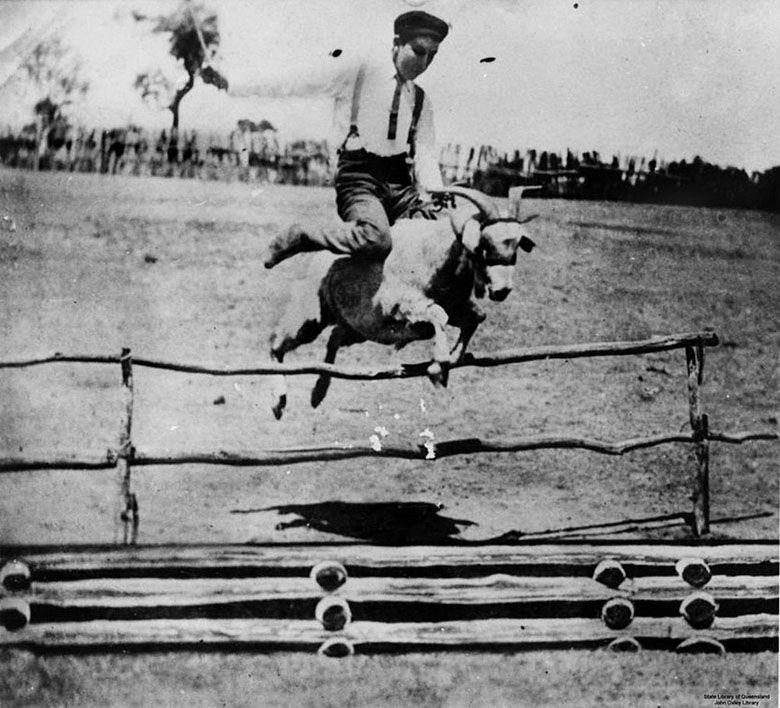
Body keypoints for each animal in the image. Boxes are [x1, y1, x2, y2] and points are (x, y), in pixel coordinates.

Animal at [268, 185, 536, 418]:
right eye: (483, 245)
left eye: (516, 246)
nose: (502, 290)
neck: (436, 257)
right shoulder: (402, 306)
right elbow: (439, 316)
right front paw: (438, 367)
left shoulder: (456, 306)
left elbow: (476, 316)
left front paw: (454, 357)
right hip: (309, 318)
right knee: (276, 345)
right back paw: (278, 401)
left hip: (358, 329)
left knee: (333, 339)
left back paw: (318, 393)